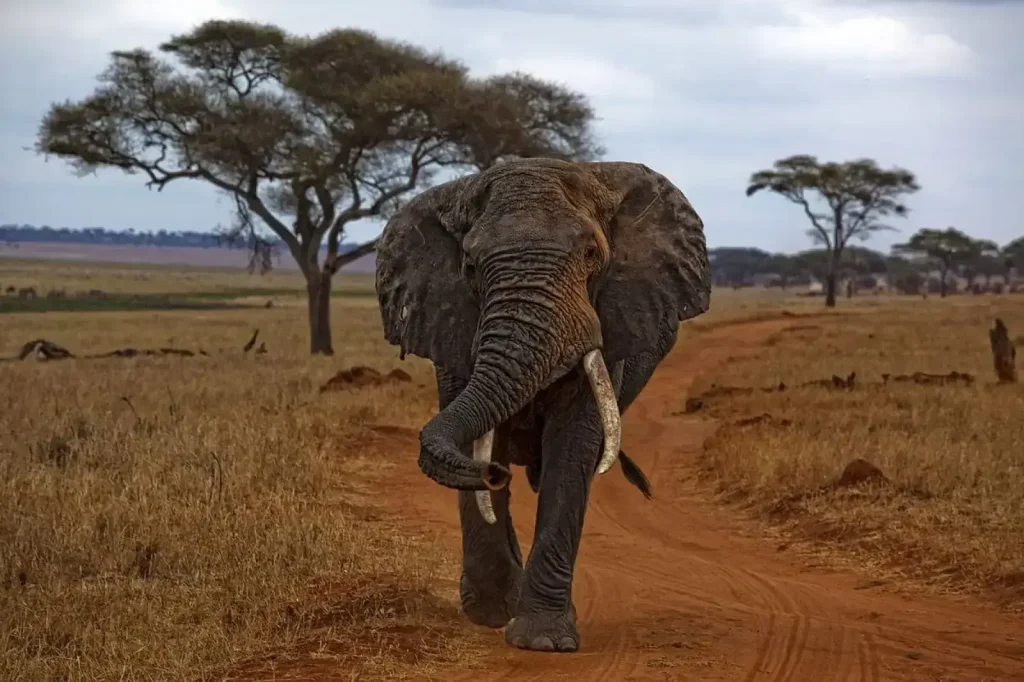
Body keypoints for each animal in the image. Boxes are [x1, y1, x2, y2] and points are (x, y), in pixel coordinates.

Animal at [375, 157, 710, 653]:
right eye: (469, 265)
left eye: (591, 254)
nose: (493, 475)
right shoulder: (450, 322)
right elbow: (474, 436)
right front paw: (491, 615)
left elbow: (571, 450)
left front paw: (542, 640)